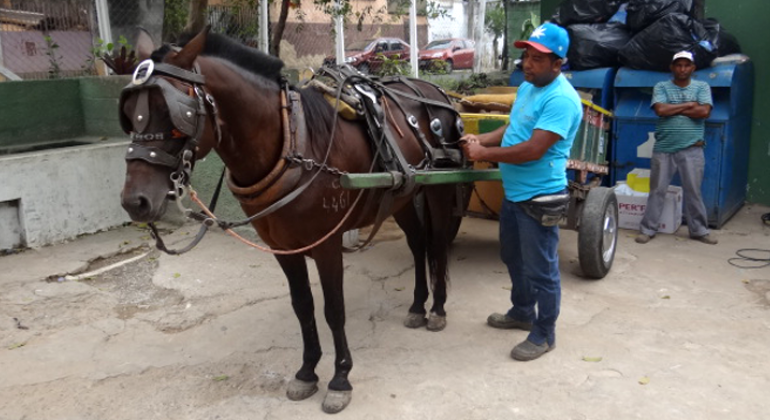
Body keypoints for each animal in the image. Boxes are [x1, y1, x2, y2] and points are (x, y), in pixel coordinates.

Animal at [119, 28, 464, 414]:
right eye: (129, 114)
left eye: (173, 114)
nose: (135, 201)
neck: (293, 142)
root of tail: (436, 92)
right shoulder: (283, 247)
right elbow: (303, 306)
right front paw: (307, 371)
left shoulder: (327, 244)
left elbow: (333, 310)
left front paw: (340, 379)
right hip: (401, 195)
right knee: (418, 244)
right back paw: (418, 305)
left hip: (439, 188)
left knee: (437, 244)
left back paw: (437, 308)